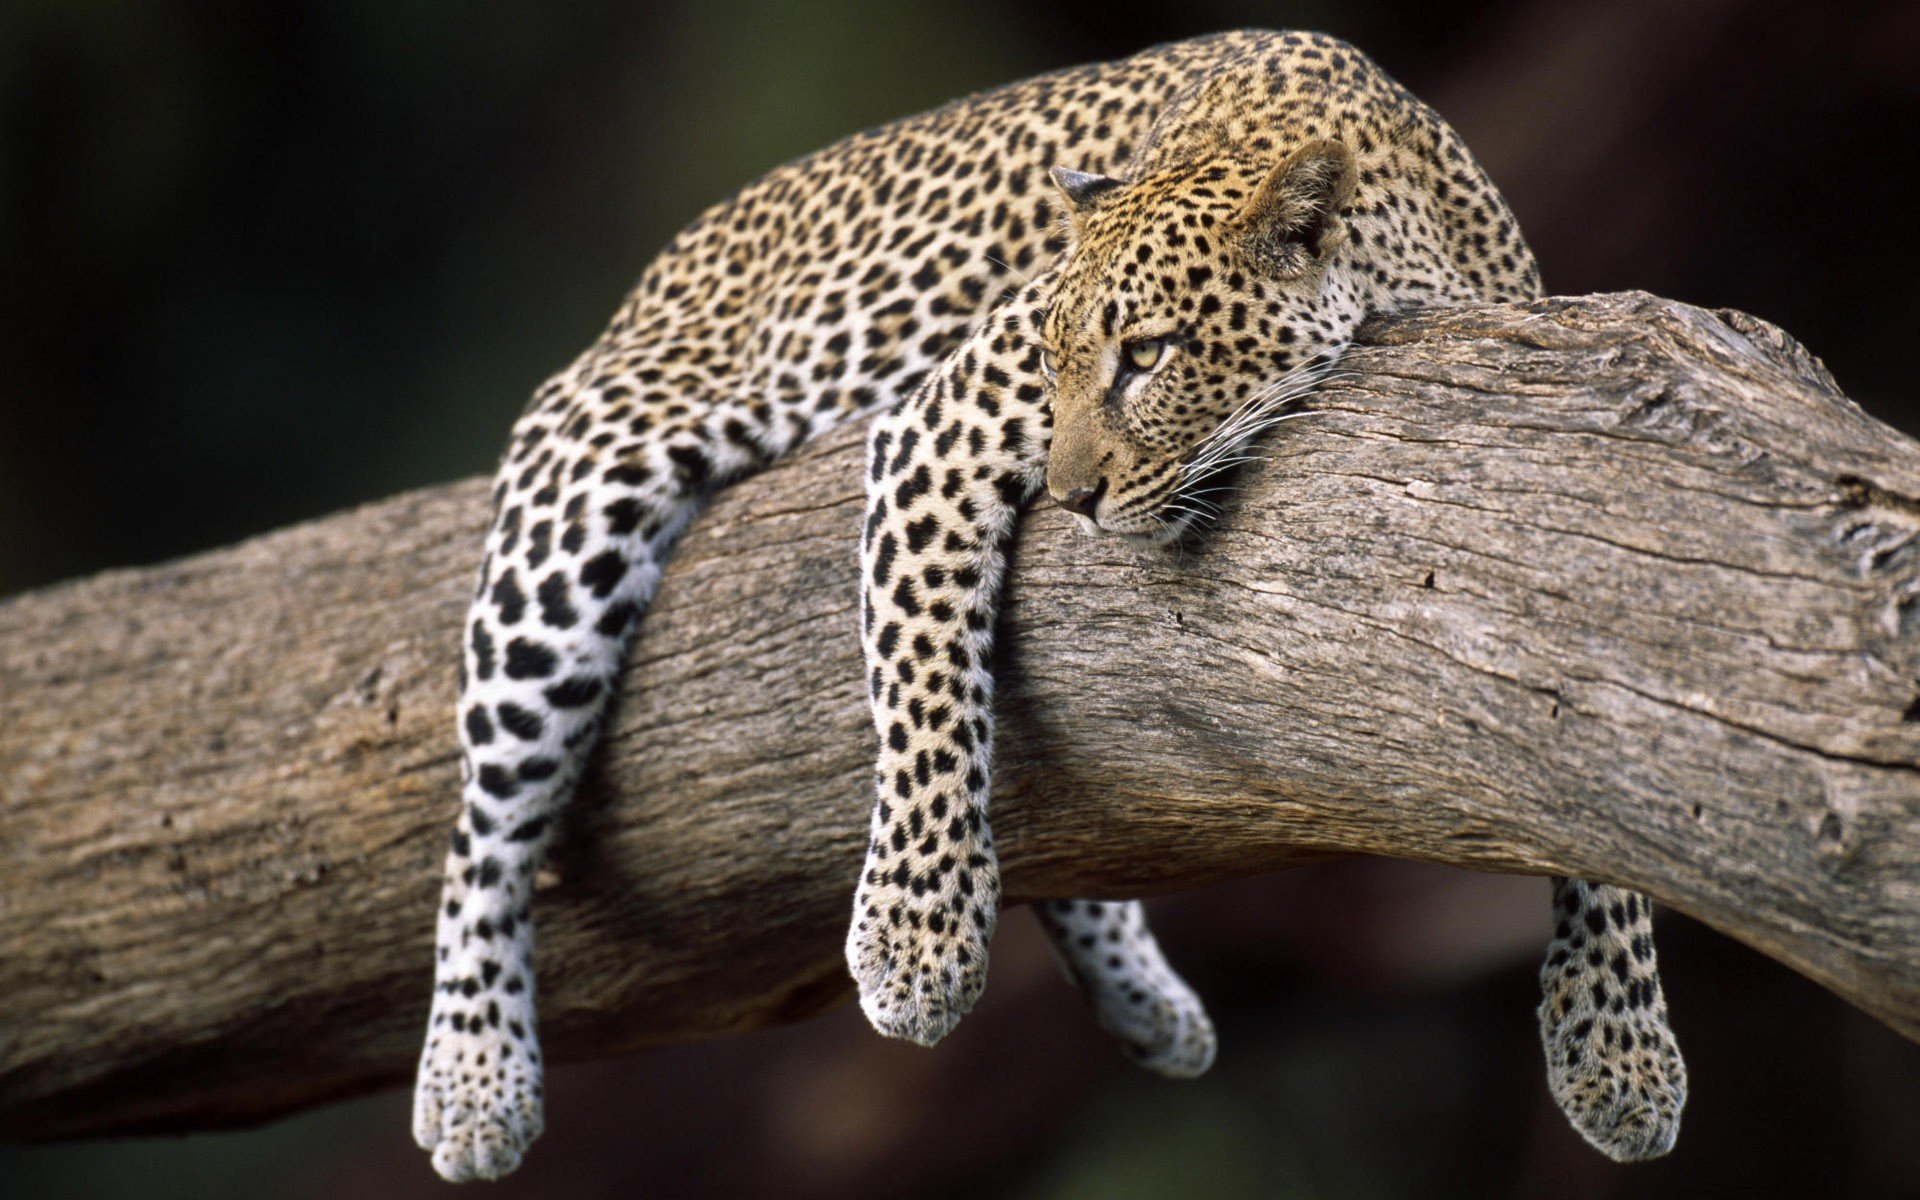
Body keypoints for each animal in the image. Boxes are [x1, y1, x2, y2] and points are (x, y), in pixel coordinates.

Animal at [412, 29, 1687, 1183]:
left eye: (1150, 355)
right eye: (1054, 359)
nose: (1071, 498)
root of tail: (664, 264)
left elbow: (1598, 773)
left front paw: (1618, 1049)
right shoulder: (935, 427)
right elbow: (928, 682)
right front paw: (916, 941)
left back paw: (1146, 1002)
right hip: (576, 512)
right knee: (486, 824)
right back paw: (473, 1080)